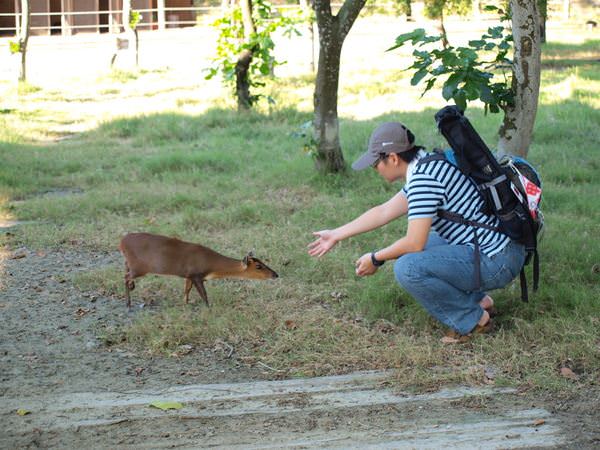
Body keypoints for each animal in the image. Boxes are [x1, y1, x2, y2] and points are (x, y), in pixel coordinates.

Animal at [118, 232, 280, 310]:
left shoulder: (189, 275)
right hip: (140, 266)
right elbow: (204, 294)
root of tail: (121, 242)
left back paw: (131, 289)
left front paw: (186, 303)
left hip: (131, 262)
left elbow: (186, 290)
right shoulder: (196, 274)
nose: (276, 274)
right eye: (258, 266)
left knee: (125, 270)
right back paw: (128, 304)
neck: (212, 265)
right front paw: (209, 308)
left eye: (263, 262)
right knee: (126, 276)